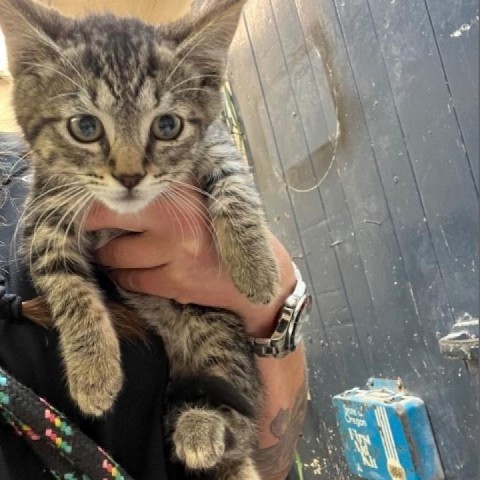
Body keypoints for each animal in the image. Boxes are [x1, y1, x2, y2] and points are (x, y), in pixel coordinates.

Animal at [0, 0, 280, 478]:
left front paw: (255, 266)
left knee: (239, 420)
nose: (130, 176)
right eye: (85, 127)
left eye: (167, 126)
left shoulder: (215, 139)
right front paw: (93, 370)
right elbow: (63, 280)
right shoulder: (44, 210)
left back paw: (202, 427)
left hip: (217, 327)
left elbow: (233, 178)